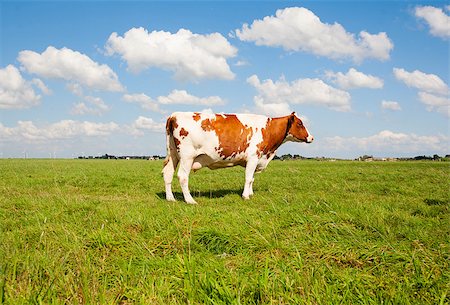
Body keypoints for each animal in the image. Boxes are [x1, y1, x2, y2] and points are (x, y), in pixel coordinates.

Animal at [162, 110, 312, 203]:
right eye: (300, 123)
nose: (311, 137)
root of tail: (174, 115)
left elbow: (252, 179)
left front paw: (250, 193)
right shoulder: (253, 156)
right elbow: (248, 178)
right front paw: (246, 196)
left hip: (173, 154)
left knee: (168, 173)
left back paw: (171, 198)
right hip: (187, 156)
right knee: (182, 176)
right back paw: (190, 200)